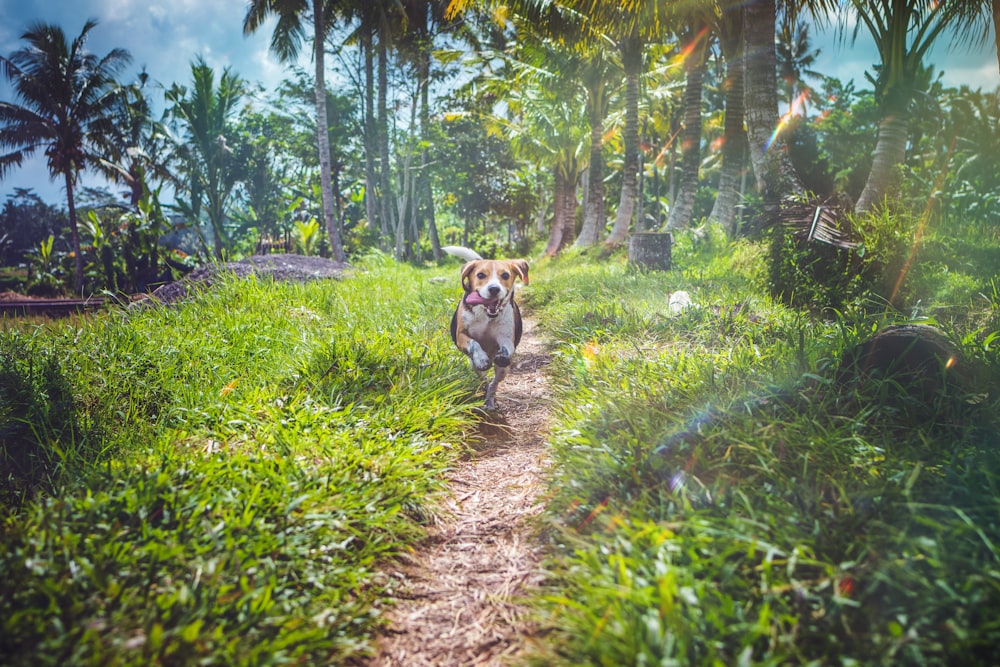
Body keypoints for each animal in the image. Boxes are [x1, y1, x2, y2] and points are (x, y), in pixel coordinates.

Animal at [442, 247, 528, 410]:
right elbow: (474, 343)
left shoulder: (506, 337)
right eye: (480, 275)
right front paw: (482, 358)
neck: (486, 316)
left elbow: (507, 347)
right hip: (473, 365)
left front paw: (503, 354)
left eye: (505, 275)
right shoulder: (461, 336)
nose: (494, 289)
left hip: (503, 370)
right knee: (483, 379)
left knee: (494, 384)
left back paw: (490, 400)